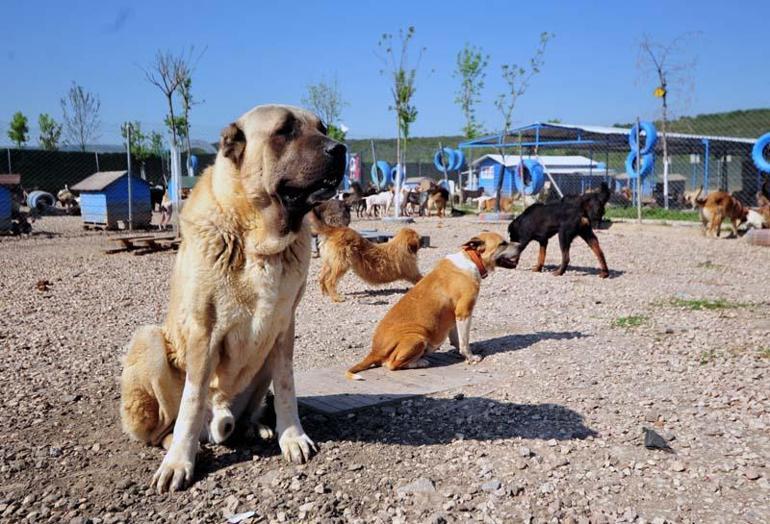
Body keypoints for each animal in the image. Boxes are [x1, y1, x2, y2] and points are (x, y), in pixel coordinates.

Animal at [346, 232, 516, 376]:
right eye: (502, 243)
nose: (520, 244)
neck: (471, 258)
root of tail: (375, 350)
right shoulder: (464, 312)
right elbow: (464, 341)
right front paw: (470, 357)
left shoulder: (453, 315)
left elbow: (457, 338)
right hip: (417, 338)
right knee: (391, 364)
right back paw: (420, 362)